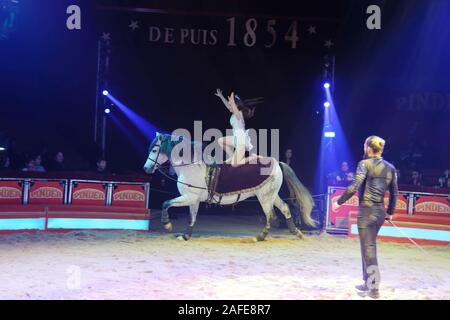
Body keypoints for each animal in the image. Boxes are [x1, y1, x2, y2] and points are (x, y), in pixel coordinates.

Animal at [144, 132, 316, 240]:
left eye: (154, 149)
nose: (146, 168)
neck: (191, 166)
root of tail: (277, 162)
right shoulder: (194, 199)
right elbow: (191, 218)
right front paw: (185, 236)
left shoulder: (189, 197)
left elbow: (166, 203)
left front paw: (167, 224)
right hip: (272, 195)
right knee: (285, 208)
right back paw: (296, 232)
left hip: (264, 196)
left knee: (270, 214)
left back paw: (261, 237)